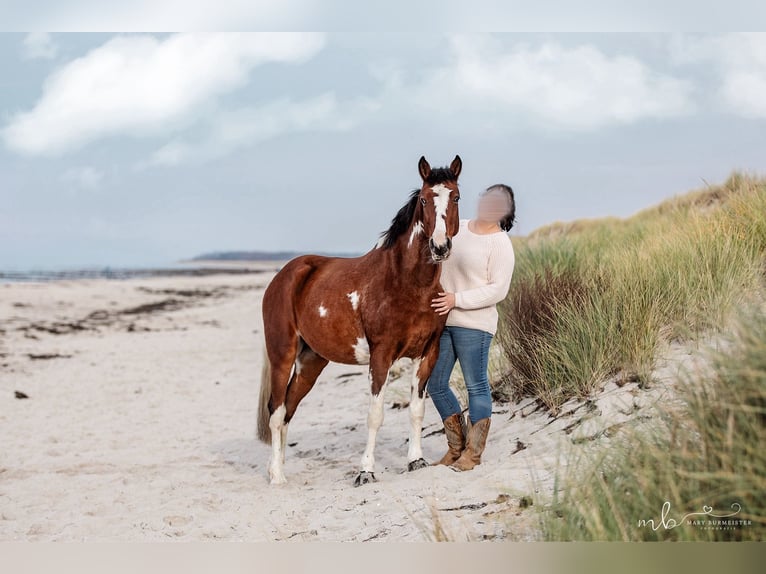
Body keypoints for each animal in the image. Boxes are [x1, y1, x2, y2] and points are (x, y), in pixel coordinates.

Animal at [258, 156, 462, 486]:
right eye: (423, 199)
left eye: (455, 197)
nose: (440, 247)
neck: (405, 283)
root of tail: (285, 275)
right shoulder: (381, 355)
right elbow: (375, 415)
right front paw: (365, 471)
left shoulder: (427, 353)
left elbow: (417, 410)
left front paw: (415, 460)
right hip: (282, 355)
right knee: (276, 412)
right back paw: (277, 475)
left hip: (311, 361)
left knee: (289, 408)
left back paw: (276, 465)